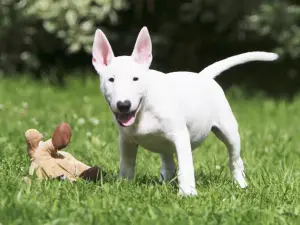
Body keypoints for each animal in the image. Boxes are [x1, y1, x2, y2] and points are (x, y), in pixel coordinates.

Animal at [91, 25, 278, 195]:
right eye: (111, 79)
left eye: (135, 79)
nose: (124, 104)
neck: (144, 109)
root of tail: (203, 76)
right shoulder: (126, 140)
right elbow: (127, 164)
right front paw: (123, 186)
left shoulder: (180, 136)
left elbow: (186, 167)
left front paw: (187, 193)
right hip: (164, 144)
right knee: (168, 163)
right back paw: (165, 183)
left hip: (228, 130)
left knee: (234, 159)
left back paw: (240, 184)